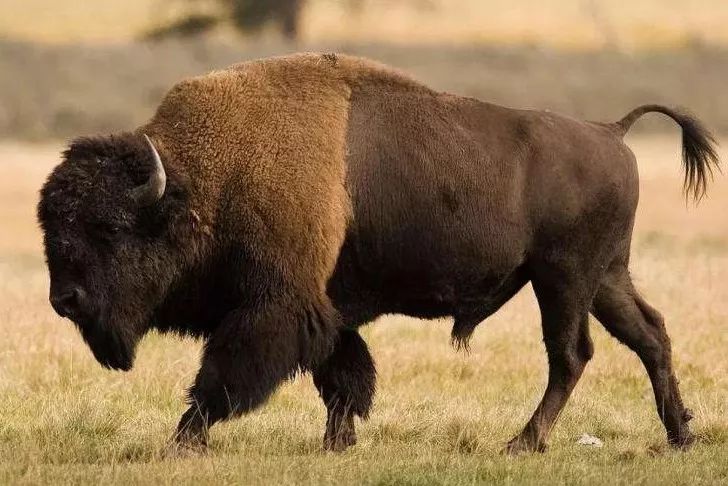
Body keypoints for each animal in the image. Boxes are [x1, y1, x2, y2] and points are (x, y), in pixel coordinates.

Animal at [38, 52, 716, 452]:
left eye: (109, 230)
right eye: (52, 226)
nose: (64, 299)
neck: (205, 179)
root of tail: (611, 131)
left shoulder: (276, 307)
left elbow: (228, 374)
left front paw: (185, 439)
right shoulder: (327, 308)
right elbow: (342, 375)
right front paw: (337, 443)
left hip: (564, 278)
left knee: (571, 354)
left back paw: (523, 442)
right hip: (605, 277)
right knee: (650, 336)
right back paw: (679, 434)